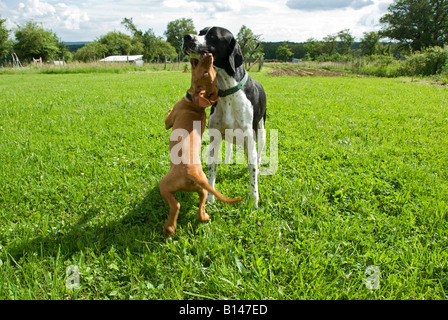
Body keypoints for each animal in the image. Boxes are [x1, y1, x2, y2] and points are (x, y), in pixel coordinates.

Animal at [161, 53, 243, 238]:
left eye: (207, 72)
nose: (209, 54)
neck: (195, 105)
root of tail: (192, 173)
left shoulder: (169, 122)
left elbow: (167, 119)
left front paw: (167, 109)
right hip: (203, 190)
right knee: (201, 207)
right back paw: (205, 217)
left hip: (165, 185)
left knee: (176, 205)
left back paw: (169, 228)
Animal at [182, 26, 266, 208]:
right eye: (200, 32)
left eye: (213, 36)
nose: (186, 37)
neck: (228, 91)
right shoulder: (214, 139)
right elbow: (211, 172)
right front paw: (210, 200)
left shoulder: (250, 140)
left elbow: (252, 173)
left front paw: (254, 202)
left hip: (261, 131)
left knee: (259, 154)